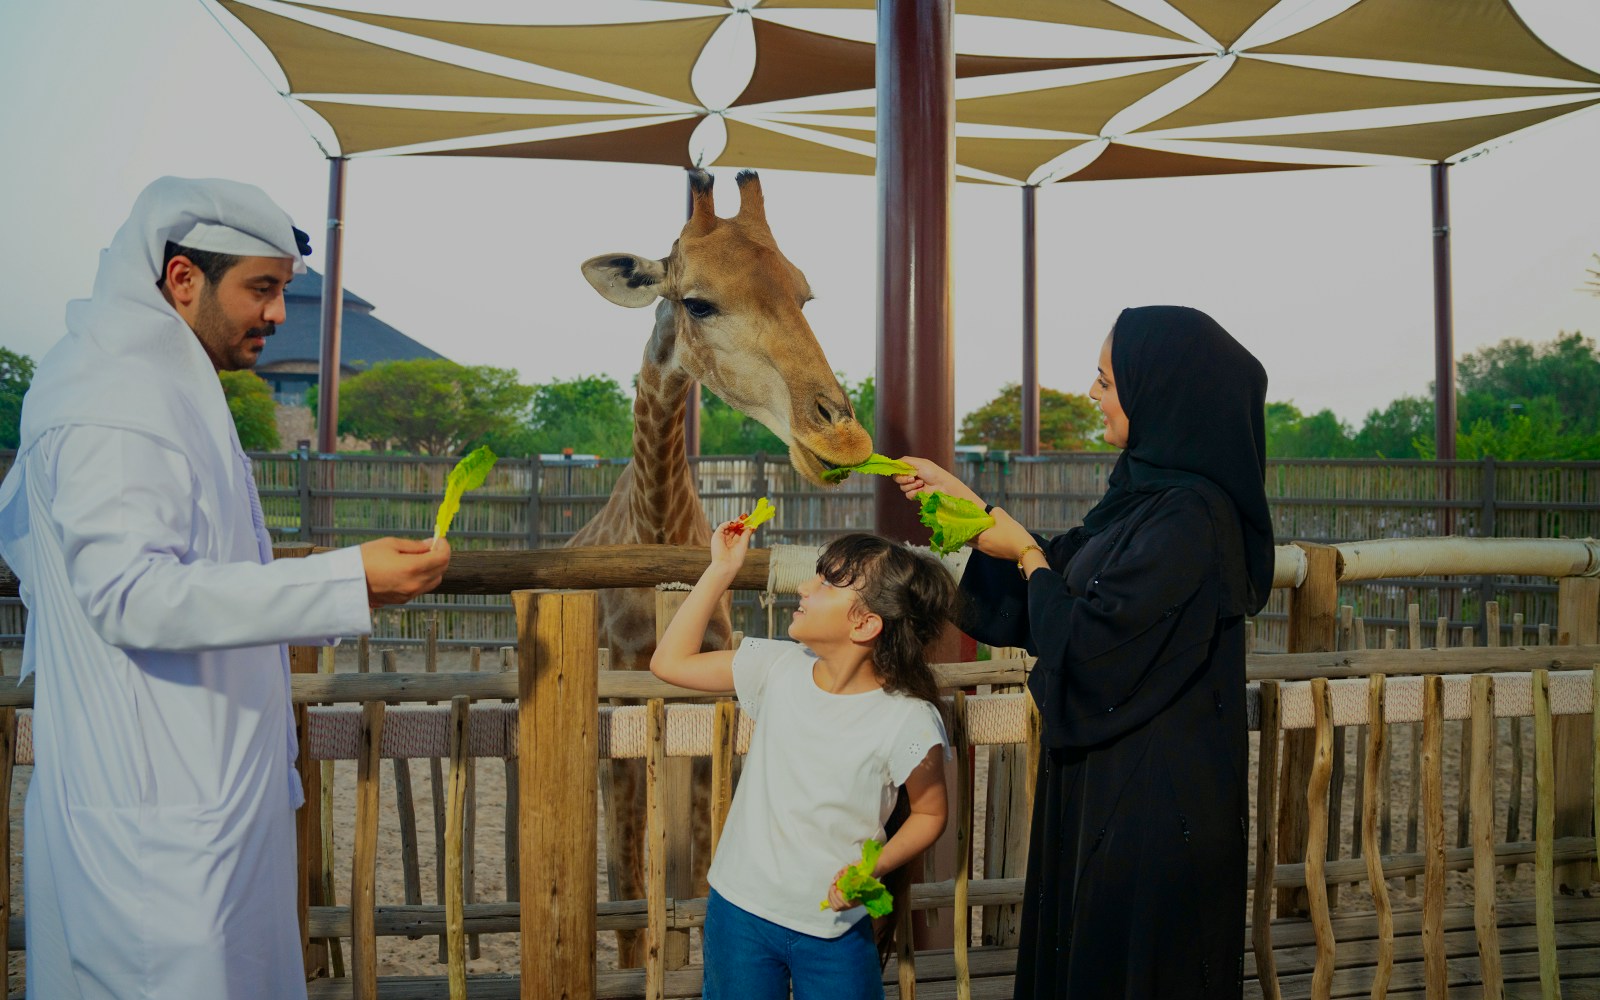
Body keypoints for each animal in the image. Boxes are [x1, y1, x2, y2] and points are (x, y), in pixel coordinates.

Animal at [574, 168, 873, 965]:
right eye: (698, 302)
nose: (843, 438)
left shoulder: (711, 711)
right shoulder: (622, 715)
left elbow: (702, 872)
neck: (657, 533)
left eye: (804, 294)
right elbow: (629, 890)